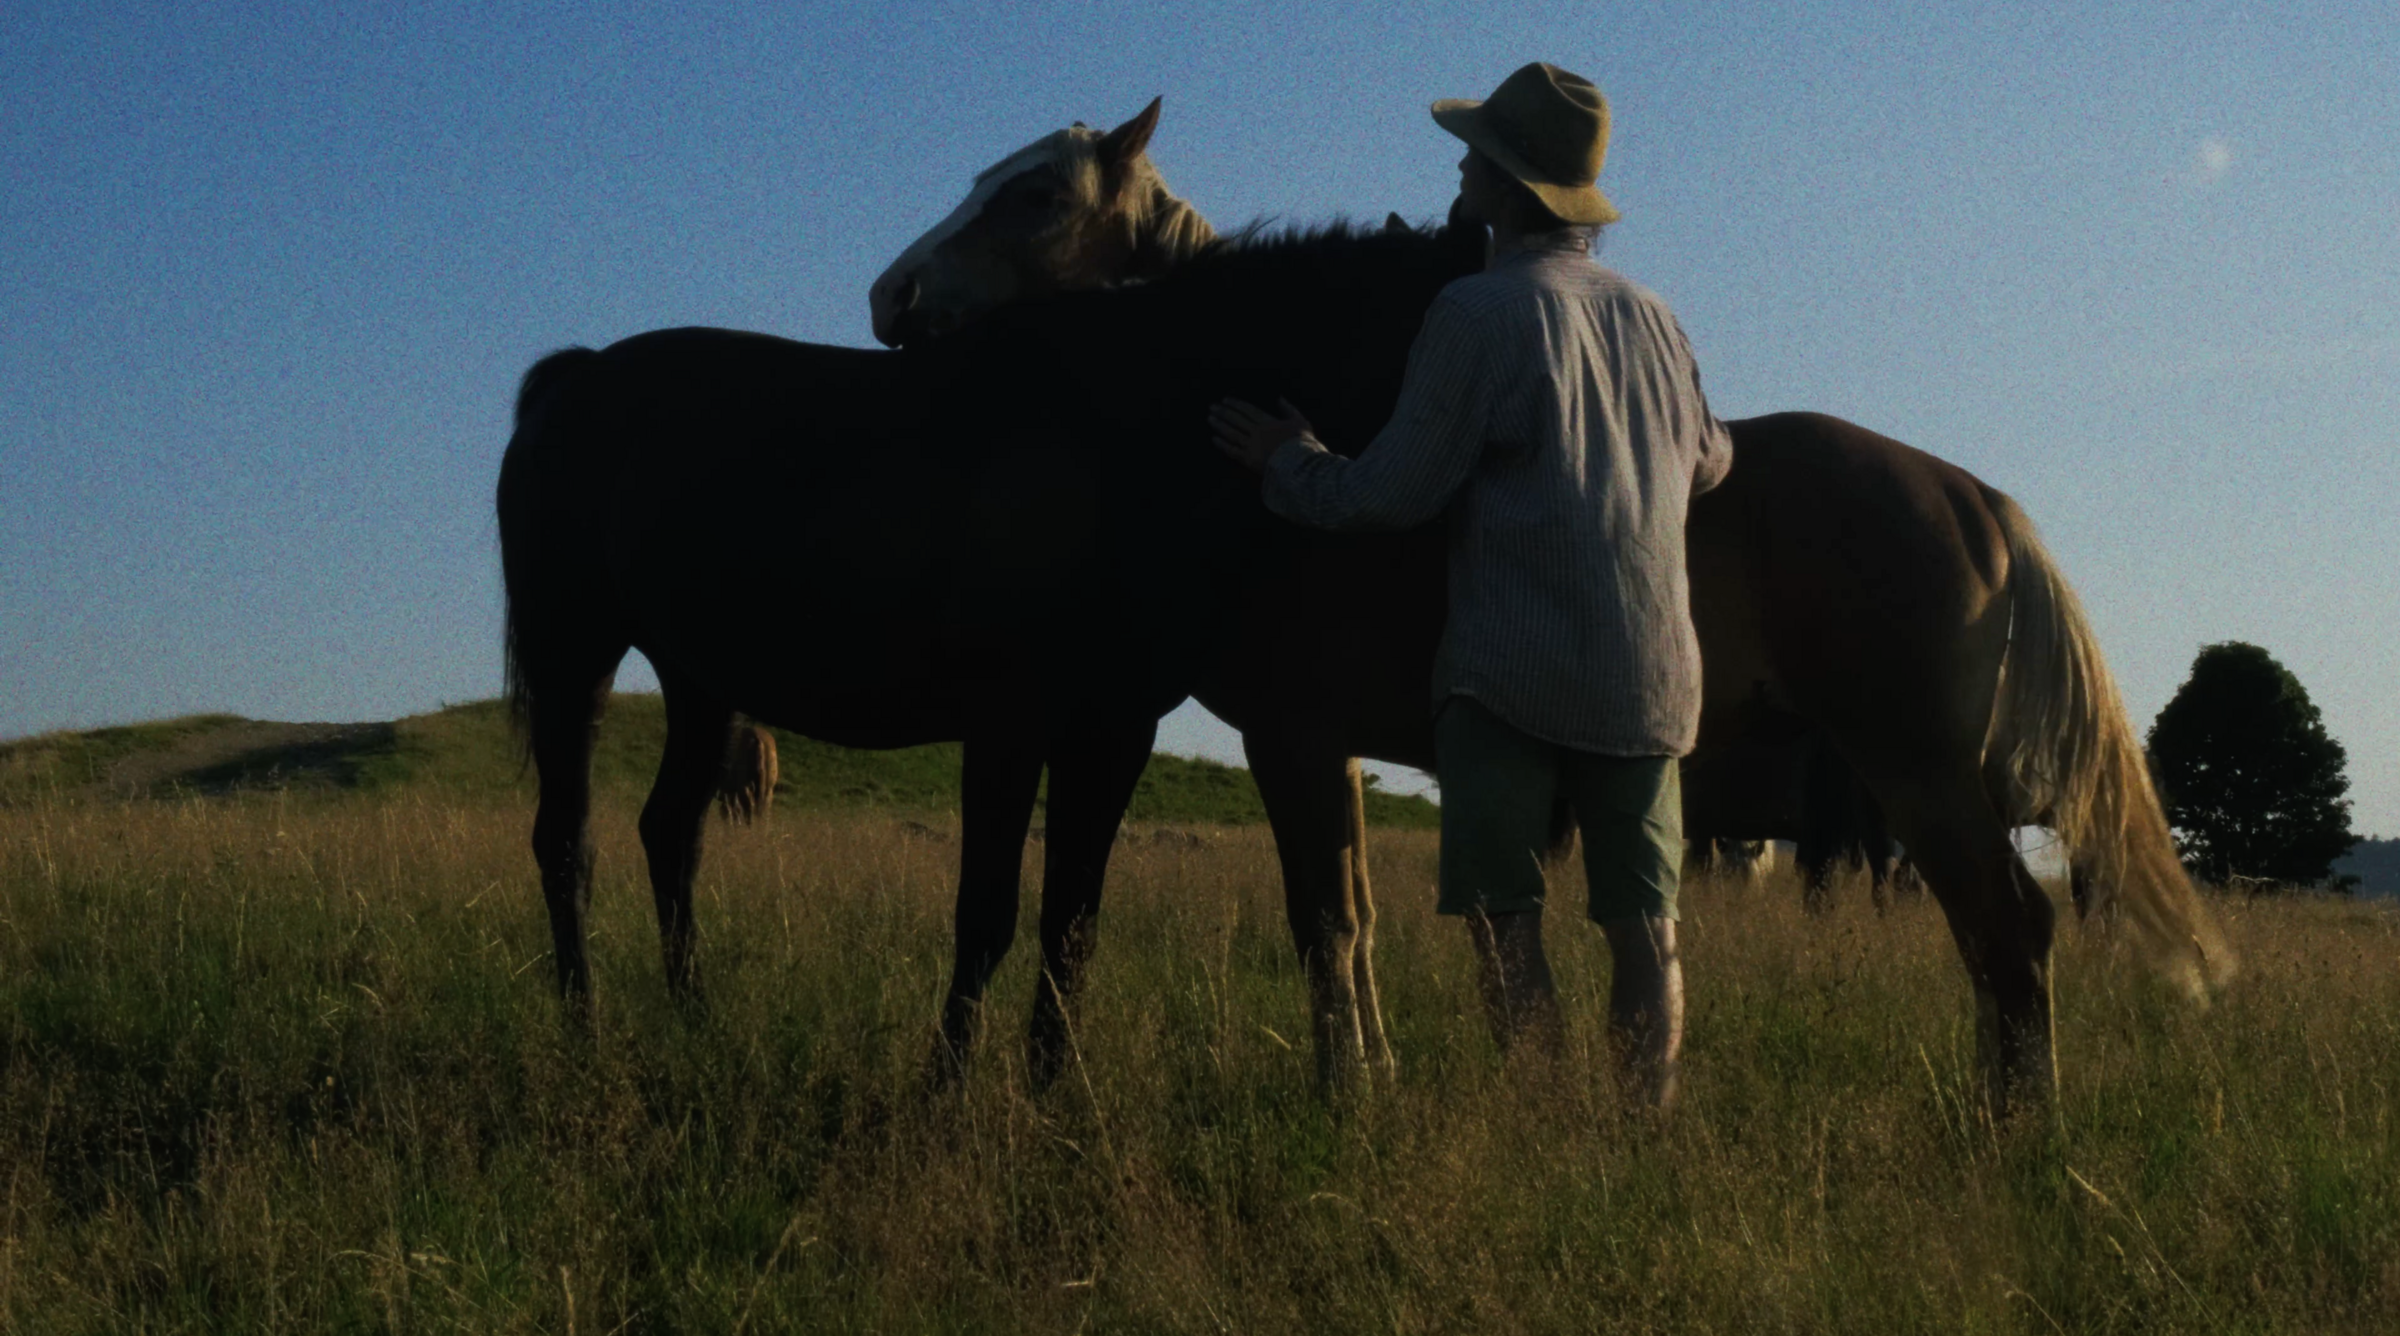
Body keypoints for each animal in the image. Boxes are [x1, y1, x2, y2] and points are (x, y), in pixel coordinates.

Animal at [872, 135, 2229, 1114]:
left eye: (1033, 192)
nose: (893, 294)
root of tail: (1976, 500)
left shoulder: (1290, 739)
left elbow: (1323, 921)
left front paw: (1340, 1097)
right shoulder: (1337, 753)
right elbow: (1357, 918)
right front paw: (1372, 1077)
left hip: (1920, 782)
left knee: (2011, 935)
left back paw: (2016, 1132)